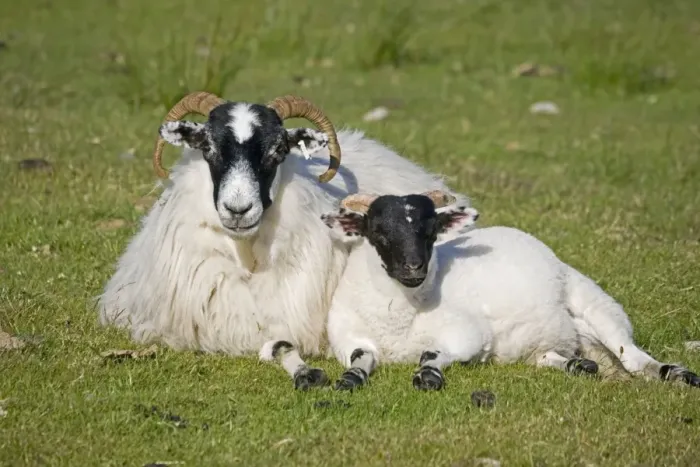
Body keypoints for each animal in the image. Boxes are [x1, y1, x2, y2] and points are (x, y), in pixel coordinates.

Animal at [320, 190, 700, 391]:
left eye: (431, 233)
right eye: (379, 233)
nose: (414, 268)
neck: (398, 319)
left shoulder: (468, 333)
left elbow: (433, 353)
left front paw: (428, 374)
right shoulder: (348, 338)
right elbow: (360, 357)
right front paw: (350, 378)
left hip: (595, 303)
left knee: (632, 356)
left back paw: (678, 374)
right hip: (547, 343)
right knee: (554, 357)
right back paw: (578, 365)